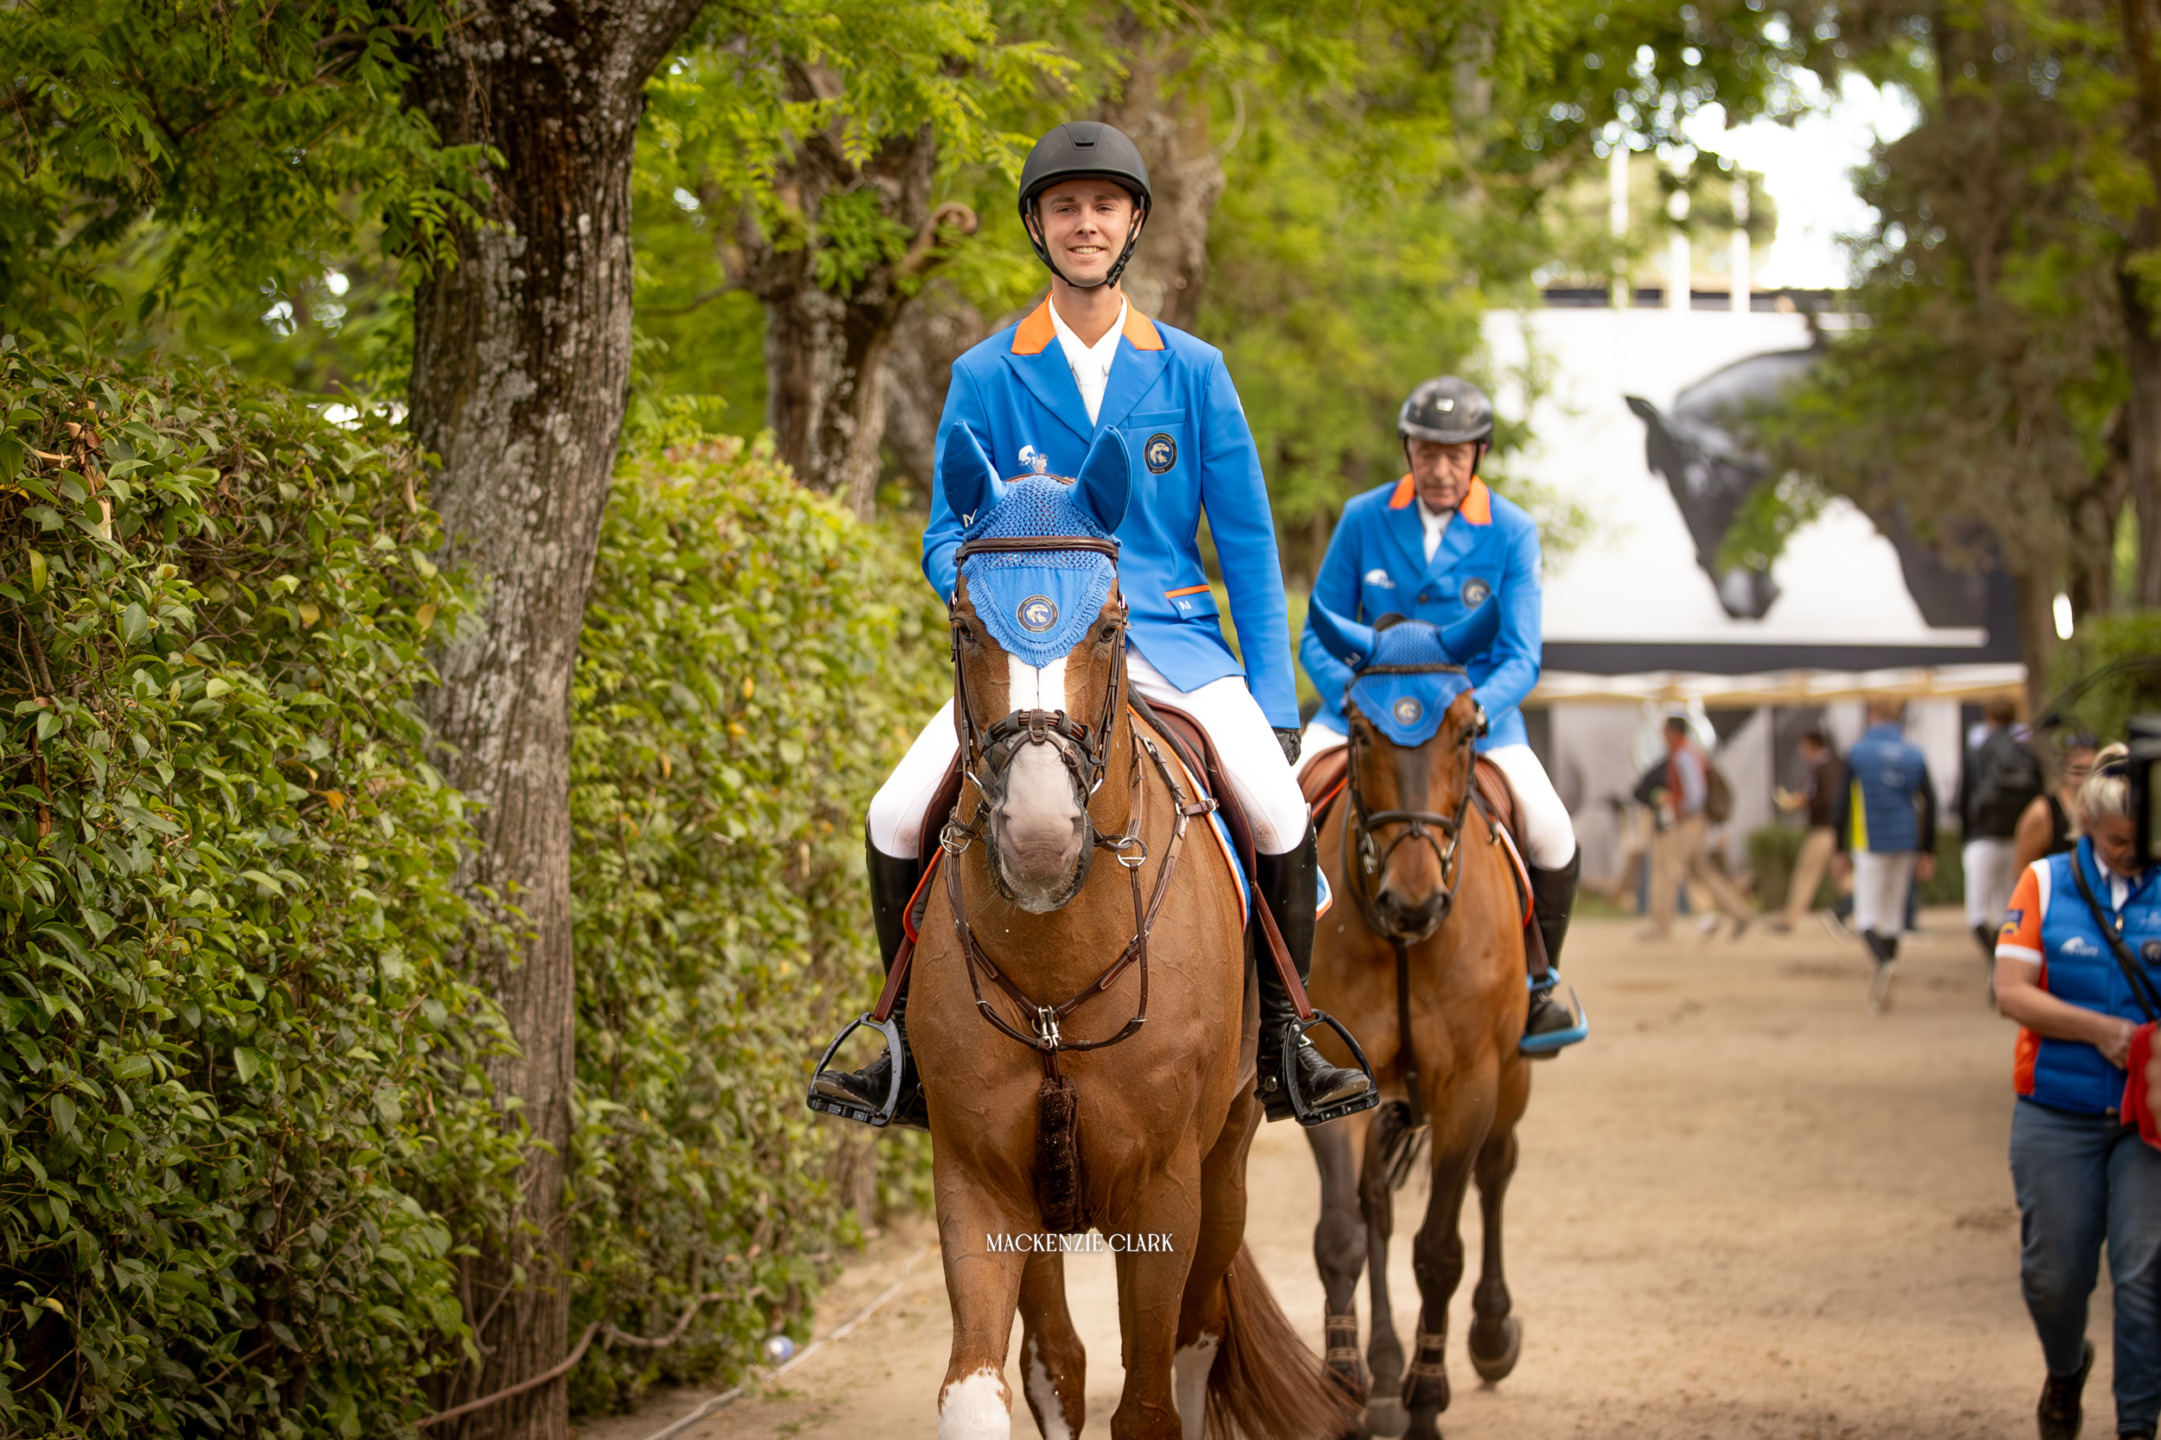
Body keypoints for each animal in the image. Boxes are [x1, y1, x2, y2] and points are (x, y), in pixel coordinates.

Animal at [877, 425, 1348, 1435]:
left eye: (1108, 626)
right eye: (964, 626)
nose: (1040, 839)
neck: (1056, 969)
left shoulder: (1162, 1188)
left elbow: (1149, 1406)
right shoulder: (978, 1179)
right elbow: (987, 1389)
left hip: (1225, 1162)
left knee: (1197, 1335)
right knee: (1058, 1358)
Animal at [1287, 596, 1547, 1435]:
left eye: (1466, 728)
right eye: (1359, 727)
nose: (1412, 901)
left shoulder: (1469, 1085)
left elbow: (1439, 1250)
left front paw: (1427, 1399)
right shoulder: (1340, 1077)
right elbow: (1340, 1236)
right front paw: (1348, 1385)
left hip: (1512, 1076)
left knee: (1496, 1173)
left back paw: (1489, 1335)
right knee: (1374, 1209)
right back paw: (1379, 1375)